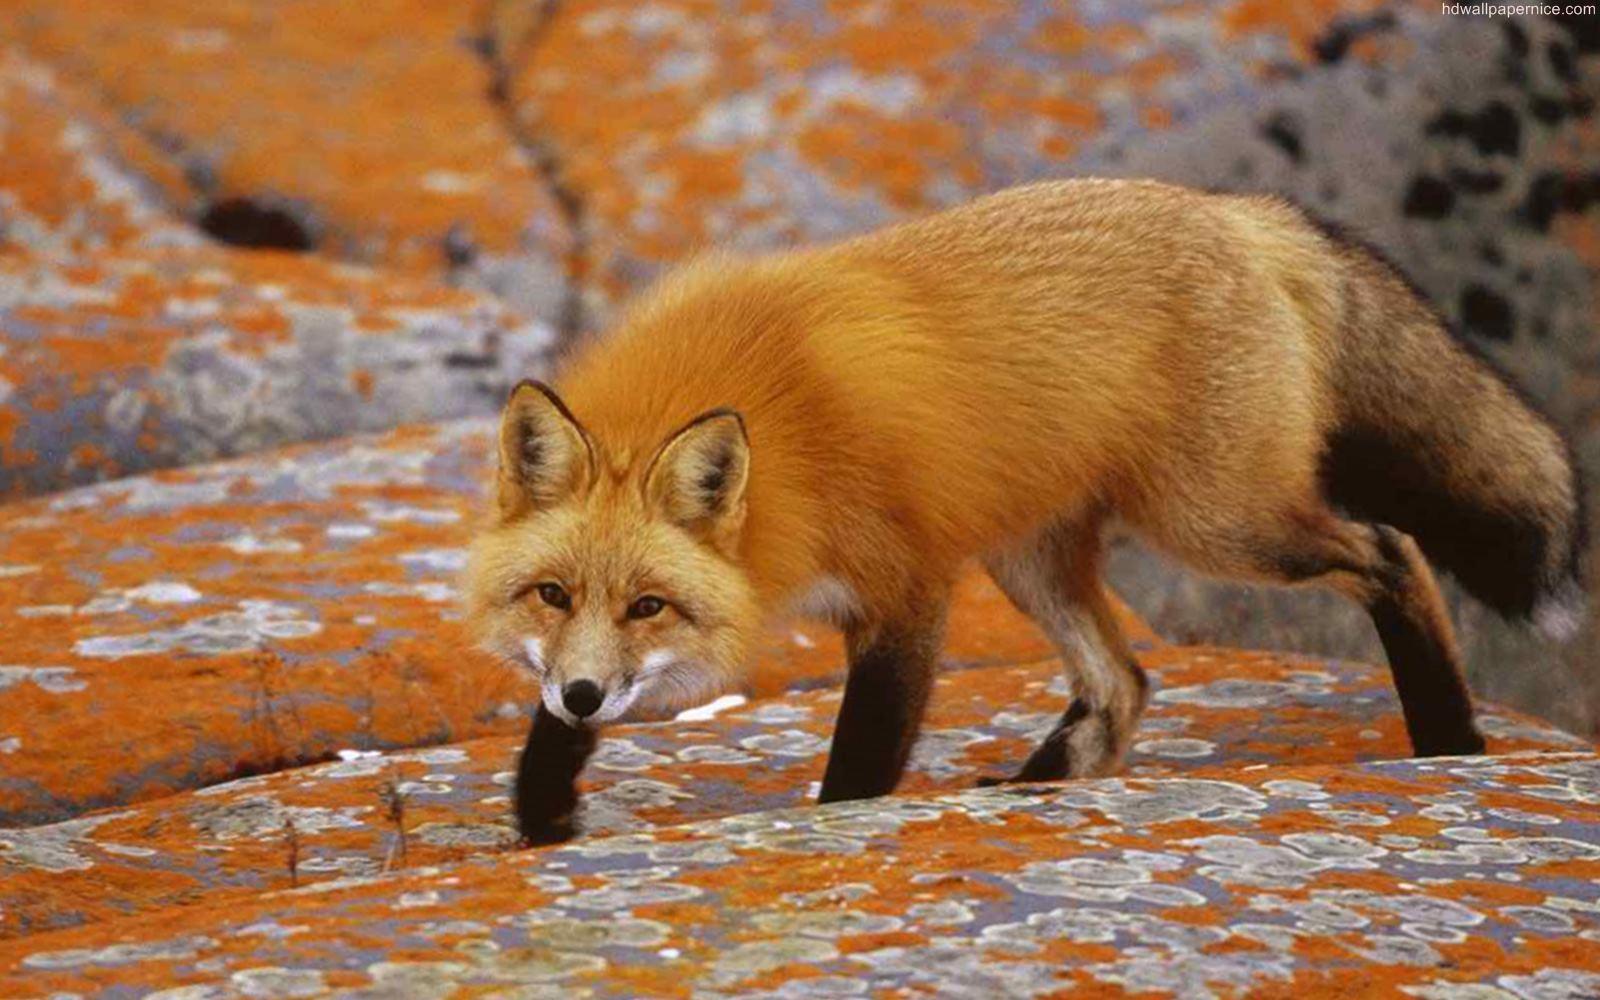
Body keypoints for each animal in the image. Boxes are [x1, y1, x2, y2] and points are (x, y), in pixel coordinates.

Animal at [463, 178, 1587, 844]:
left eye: (649, 606)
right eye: (551, 595)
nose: (586, 695)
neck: (786, 443)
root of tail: (1233, 208)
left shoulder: (906, 588)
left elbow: (860, 759)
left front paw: (834, 831)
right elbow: (547, 729)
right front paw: (542, 809)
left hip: (1218, 523)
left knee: (1390, 551)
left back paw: (1449, 739)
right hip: (1032, 555)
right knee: (1123, 681)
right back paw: (1036, 788)